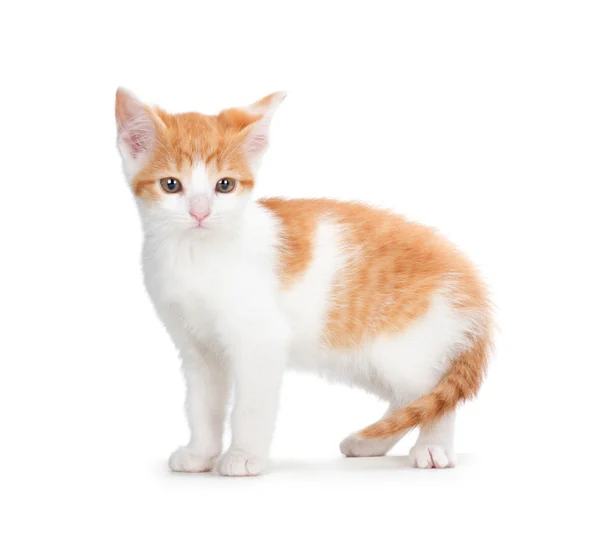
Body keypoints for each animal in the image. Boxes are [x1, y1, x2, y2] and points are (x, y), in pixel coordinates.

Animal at [113, 89, 492, 474]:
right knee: (410, 399)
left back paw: (433, 448)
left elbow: (250, 406)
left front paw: (244, 456)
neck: (195, 253)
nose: (200, 212)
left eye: (225, 185)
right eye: (171, 185)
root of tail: (470, 280)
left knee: (434, 394)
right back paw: (368, 442)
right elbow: (202, 405)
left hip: (405, 345)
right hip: (367, 358)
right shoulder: (196, 348)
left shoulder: (261, 340)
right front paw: (201, 454)